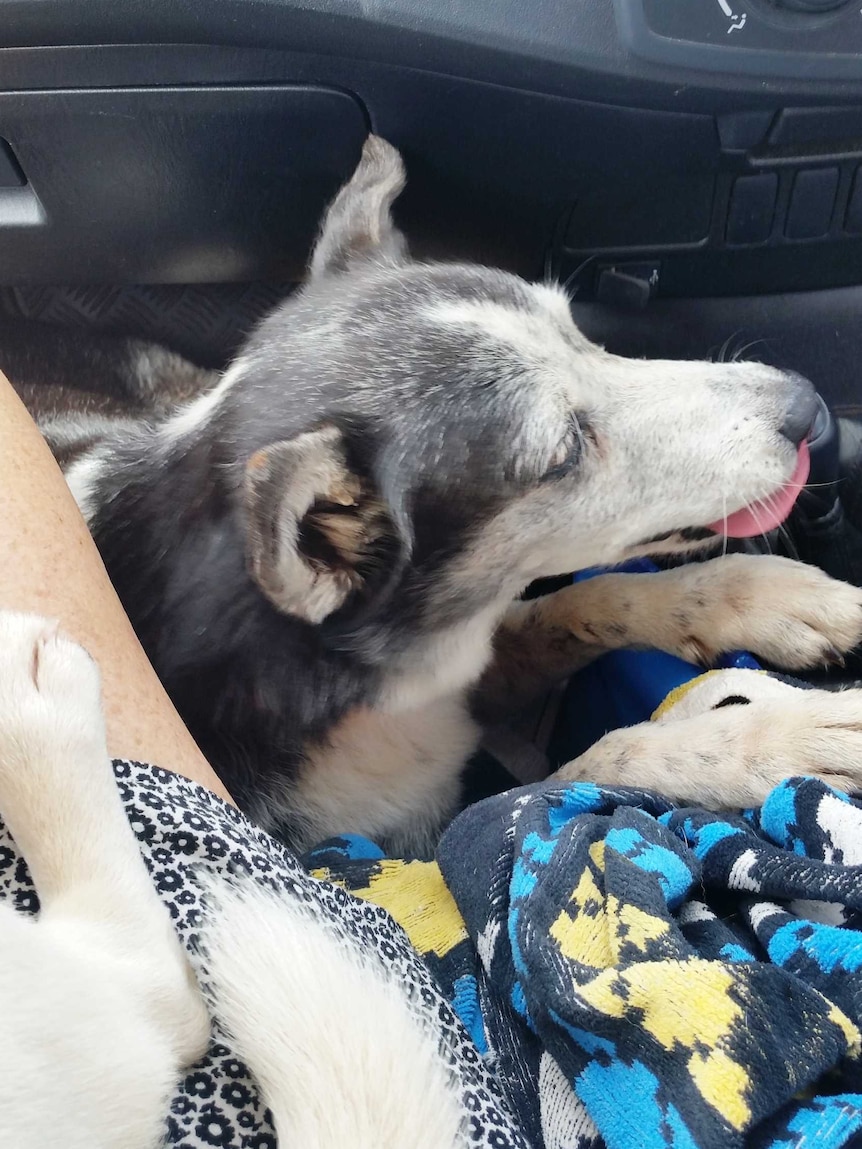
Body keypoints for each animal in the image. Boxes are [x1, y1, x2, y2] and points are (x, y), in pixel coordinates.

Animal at [6, 136, 862, 854]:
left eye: (581, 333)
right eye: (563, 452)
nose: (806, 408)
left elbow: (589, 599)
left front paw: (775, 597)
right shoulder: (422, 841)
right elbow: (599, 760)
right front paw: (795, 736)